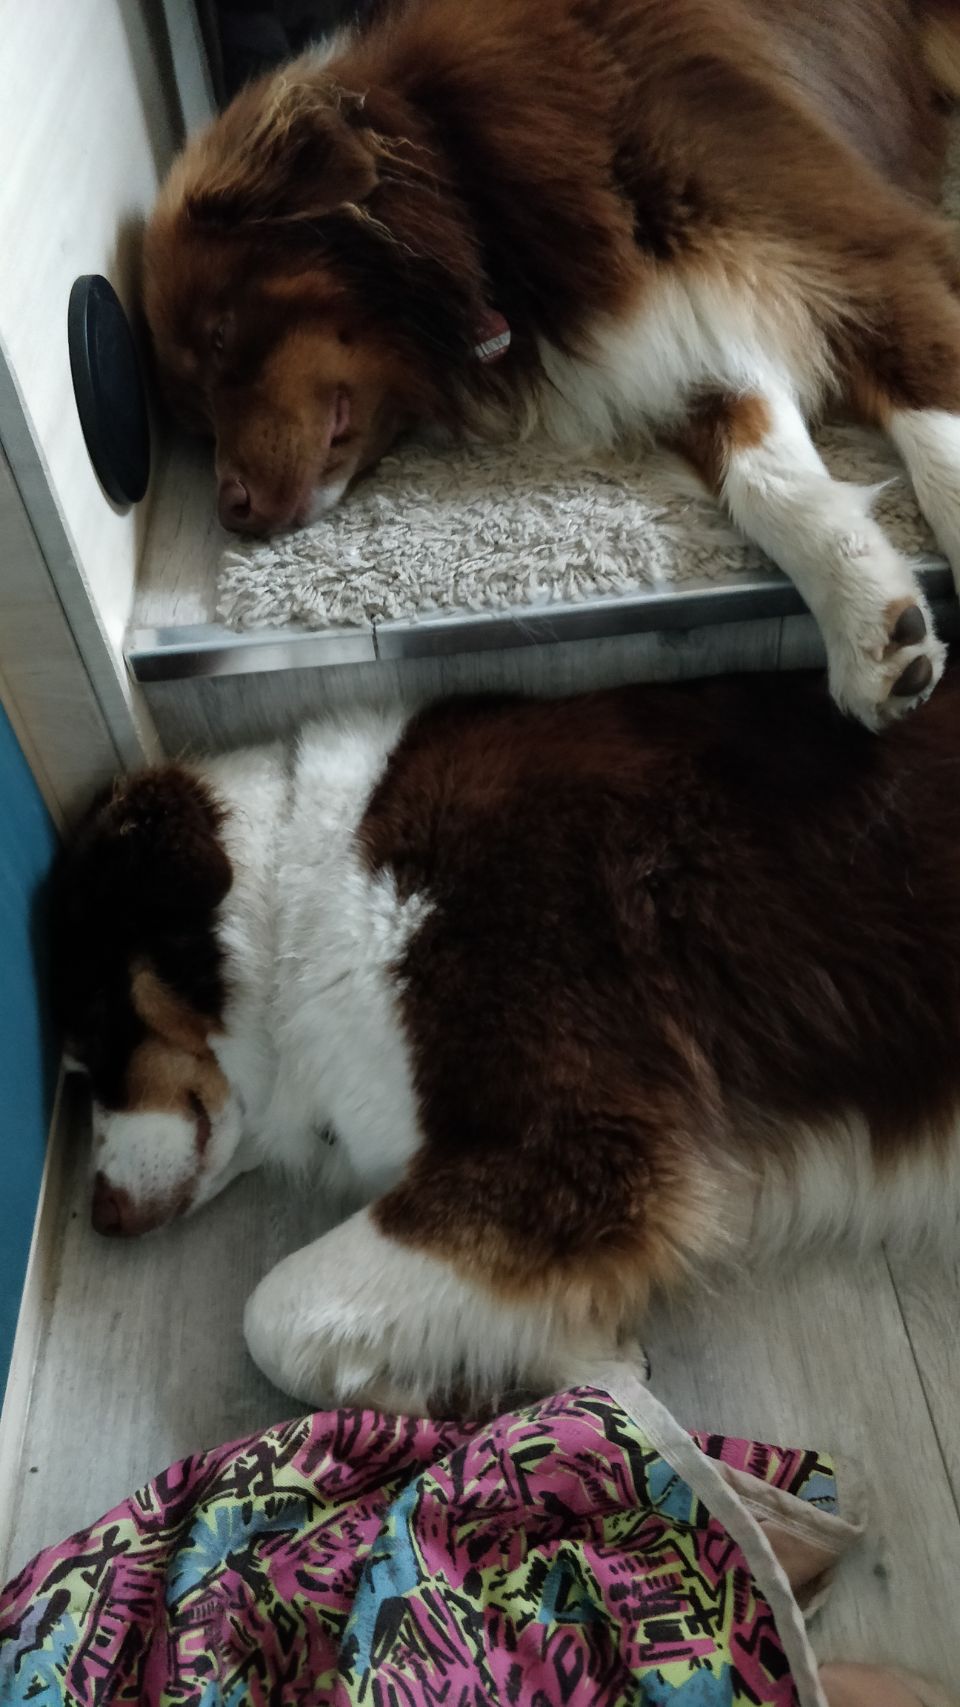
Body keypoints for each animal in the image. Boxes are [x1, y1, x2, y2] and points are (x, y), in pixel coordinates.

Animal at [55, 665, 960, 1413]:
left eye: (96, 1025)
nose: (99, 1218)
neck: (293, 896)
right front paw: (546, 1365)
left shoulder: (586, 1147)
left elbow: (272, 1310)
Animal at [143, 0, 960, 729]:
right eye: (191, 413)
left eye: (222, 336)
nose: (231, 509)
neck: (471, 188)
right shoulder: (684, 342)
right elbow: (766, 485)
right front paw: (870, 621)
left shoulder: (866, 255)